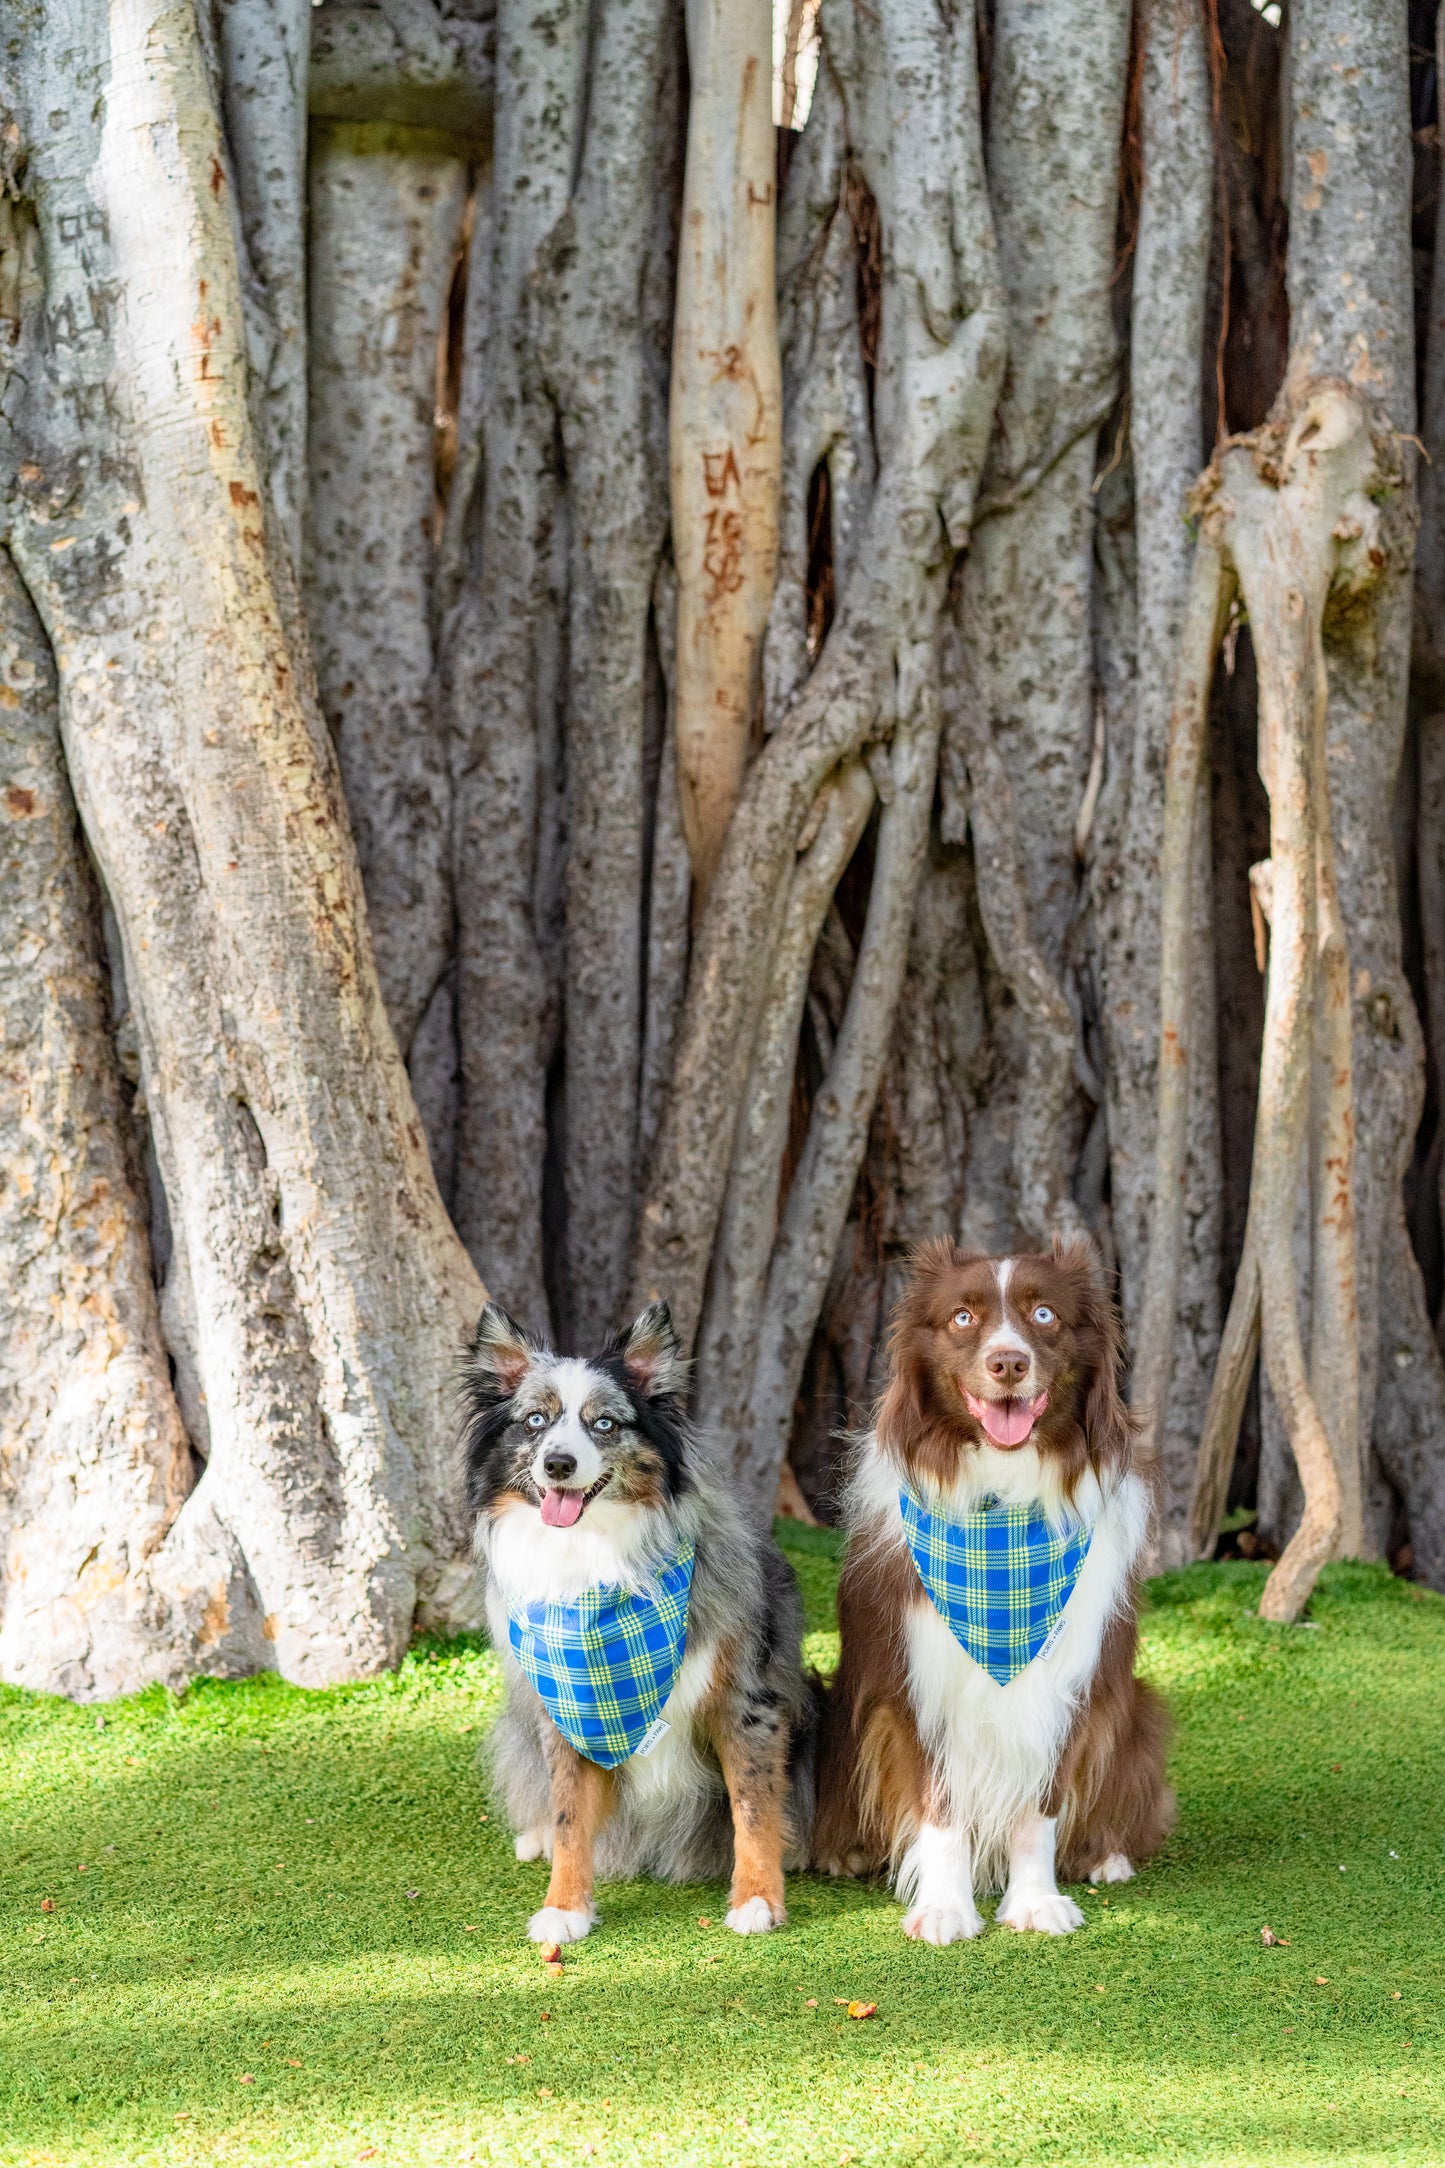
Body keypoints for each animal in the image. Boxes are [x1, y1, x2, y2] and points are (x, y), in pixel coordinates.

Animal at [814, 1240, 1178, 1951]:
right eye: (962, 1317)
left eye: (1044, 1314)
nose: (1007, 1362)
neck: (1002, 1500)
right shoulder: (919, 1684)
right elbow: (940, 1808)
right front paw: (945, 1908)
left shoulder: (1066, 1685)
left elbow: (1039, 1809)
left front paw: (1035, 1901)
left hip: (1135, 1712)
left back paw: (1107, 1855)